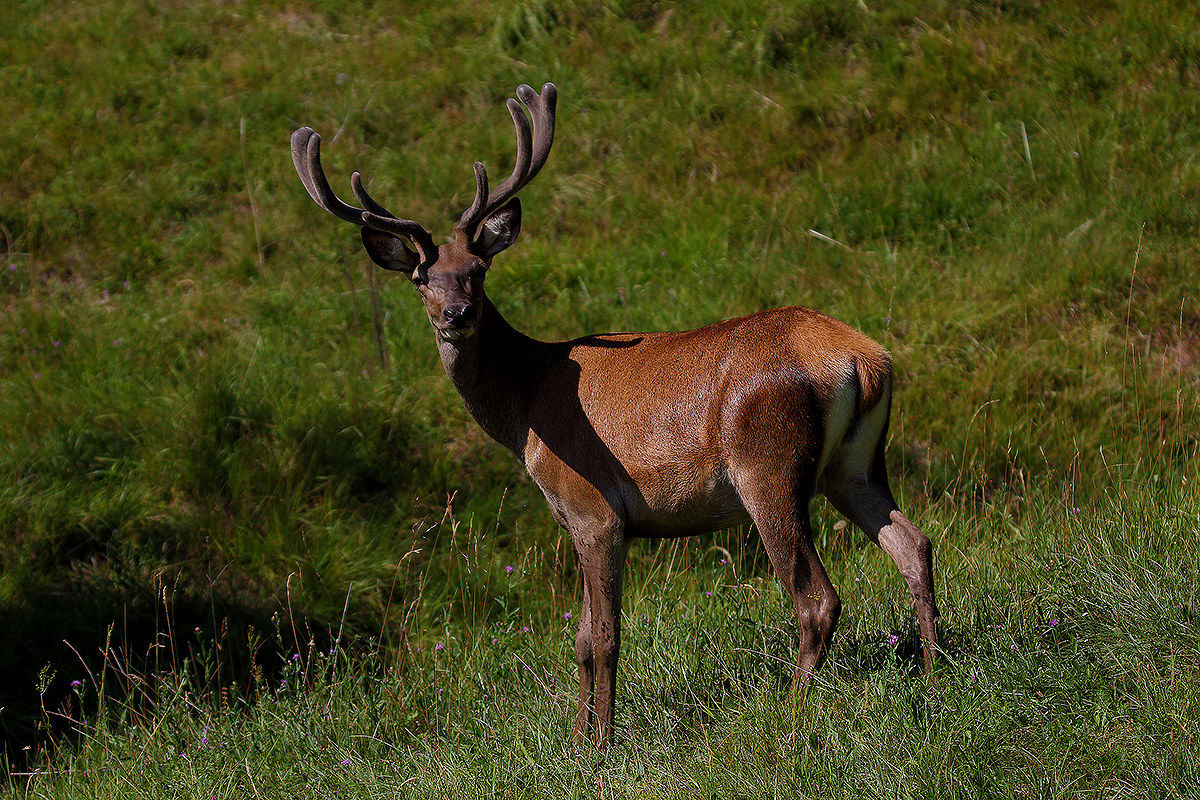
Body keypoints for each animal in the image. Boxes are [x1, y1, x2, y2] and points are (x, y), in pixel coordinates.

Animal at [290, 82, 940, 746]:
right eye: (422, 278)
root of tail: (862, 359)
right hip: (855, 464)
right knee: (914, 545)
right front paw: (576, 739)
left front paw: (600, 742)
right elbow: (579, 638)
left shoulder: (593, 507)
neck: (524, 405)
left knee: (816, 596)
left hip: (769, 465)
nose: (456, 315)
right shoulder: (575, 517)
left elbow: (602, 636)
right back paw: (934, 673)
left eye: (477, 271)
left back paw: (788, 712)